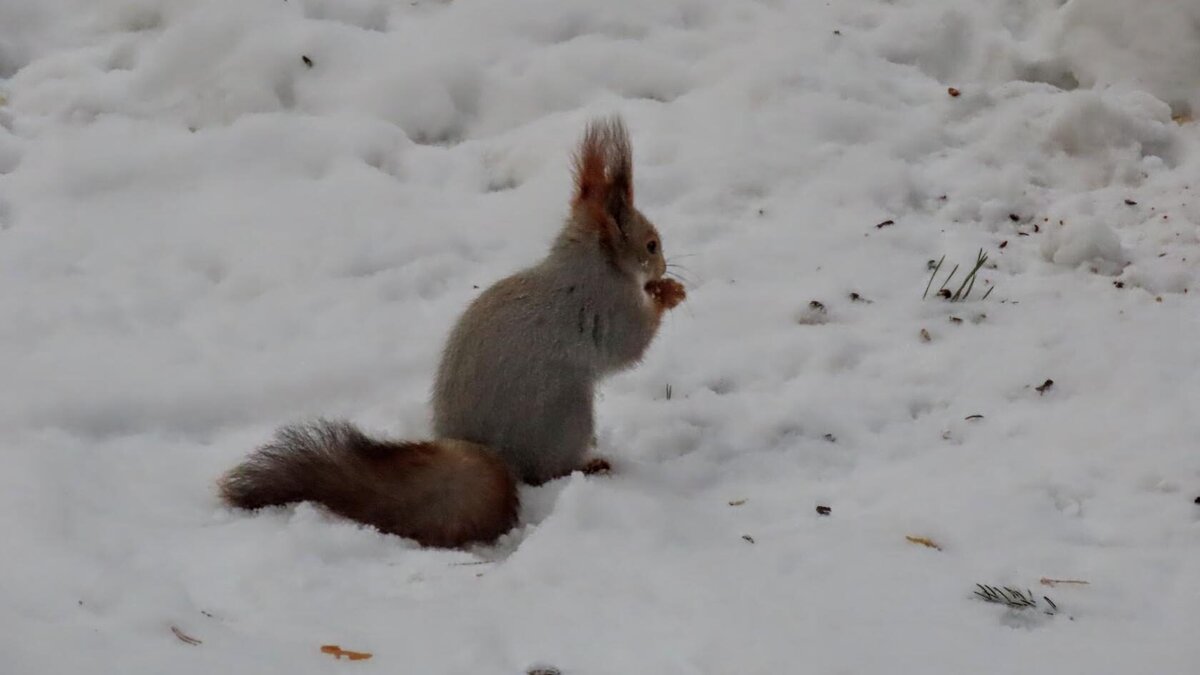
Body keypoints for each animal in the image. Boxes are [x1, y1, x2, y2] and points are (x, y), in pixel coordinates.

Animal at [217, 115, 686, 547]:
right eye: (650, 245)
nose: (664, 266)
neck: (588, 263)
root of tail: (492, 453)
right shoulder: (606, 308)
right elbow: (629, 346)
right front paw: (668, 294)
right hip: (567, 411)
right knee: (547, 470)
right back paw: (587, 466)